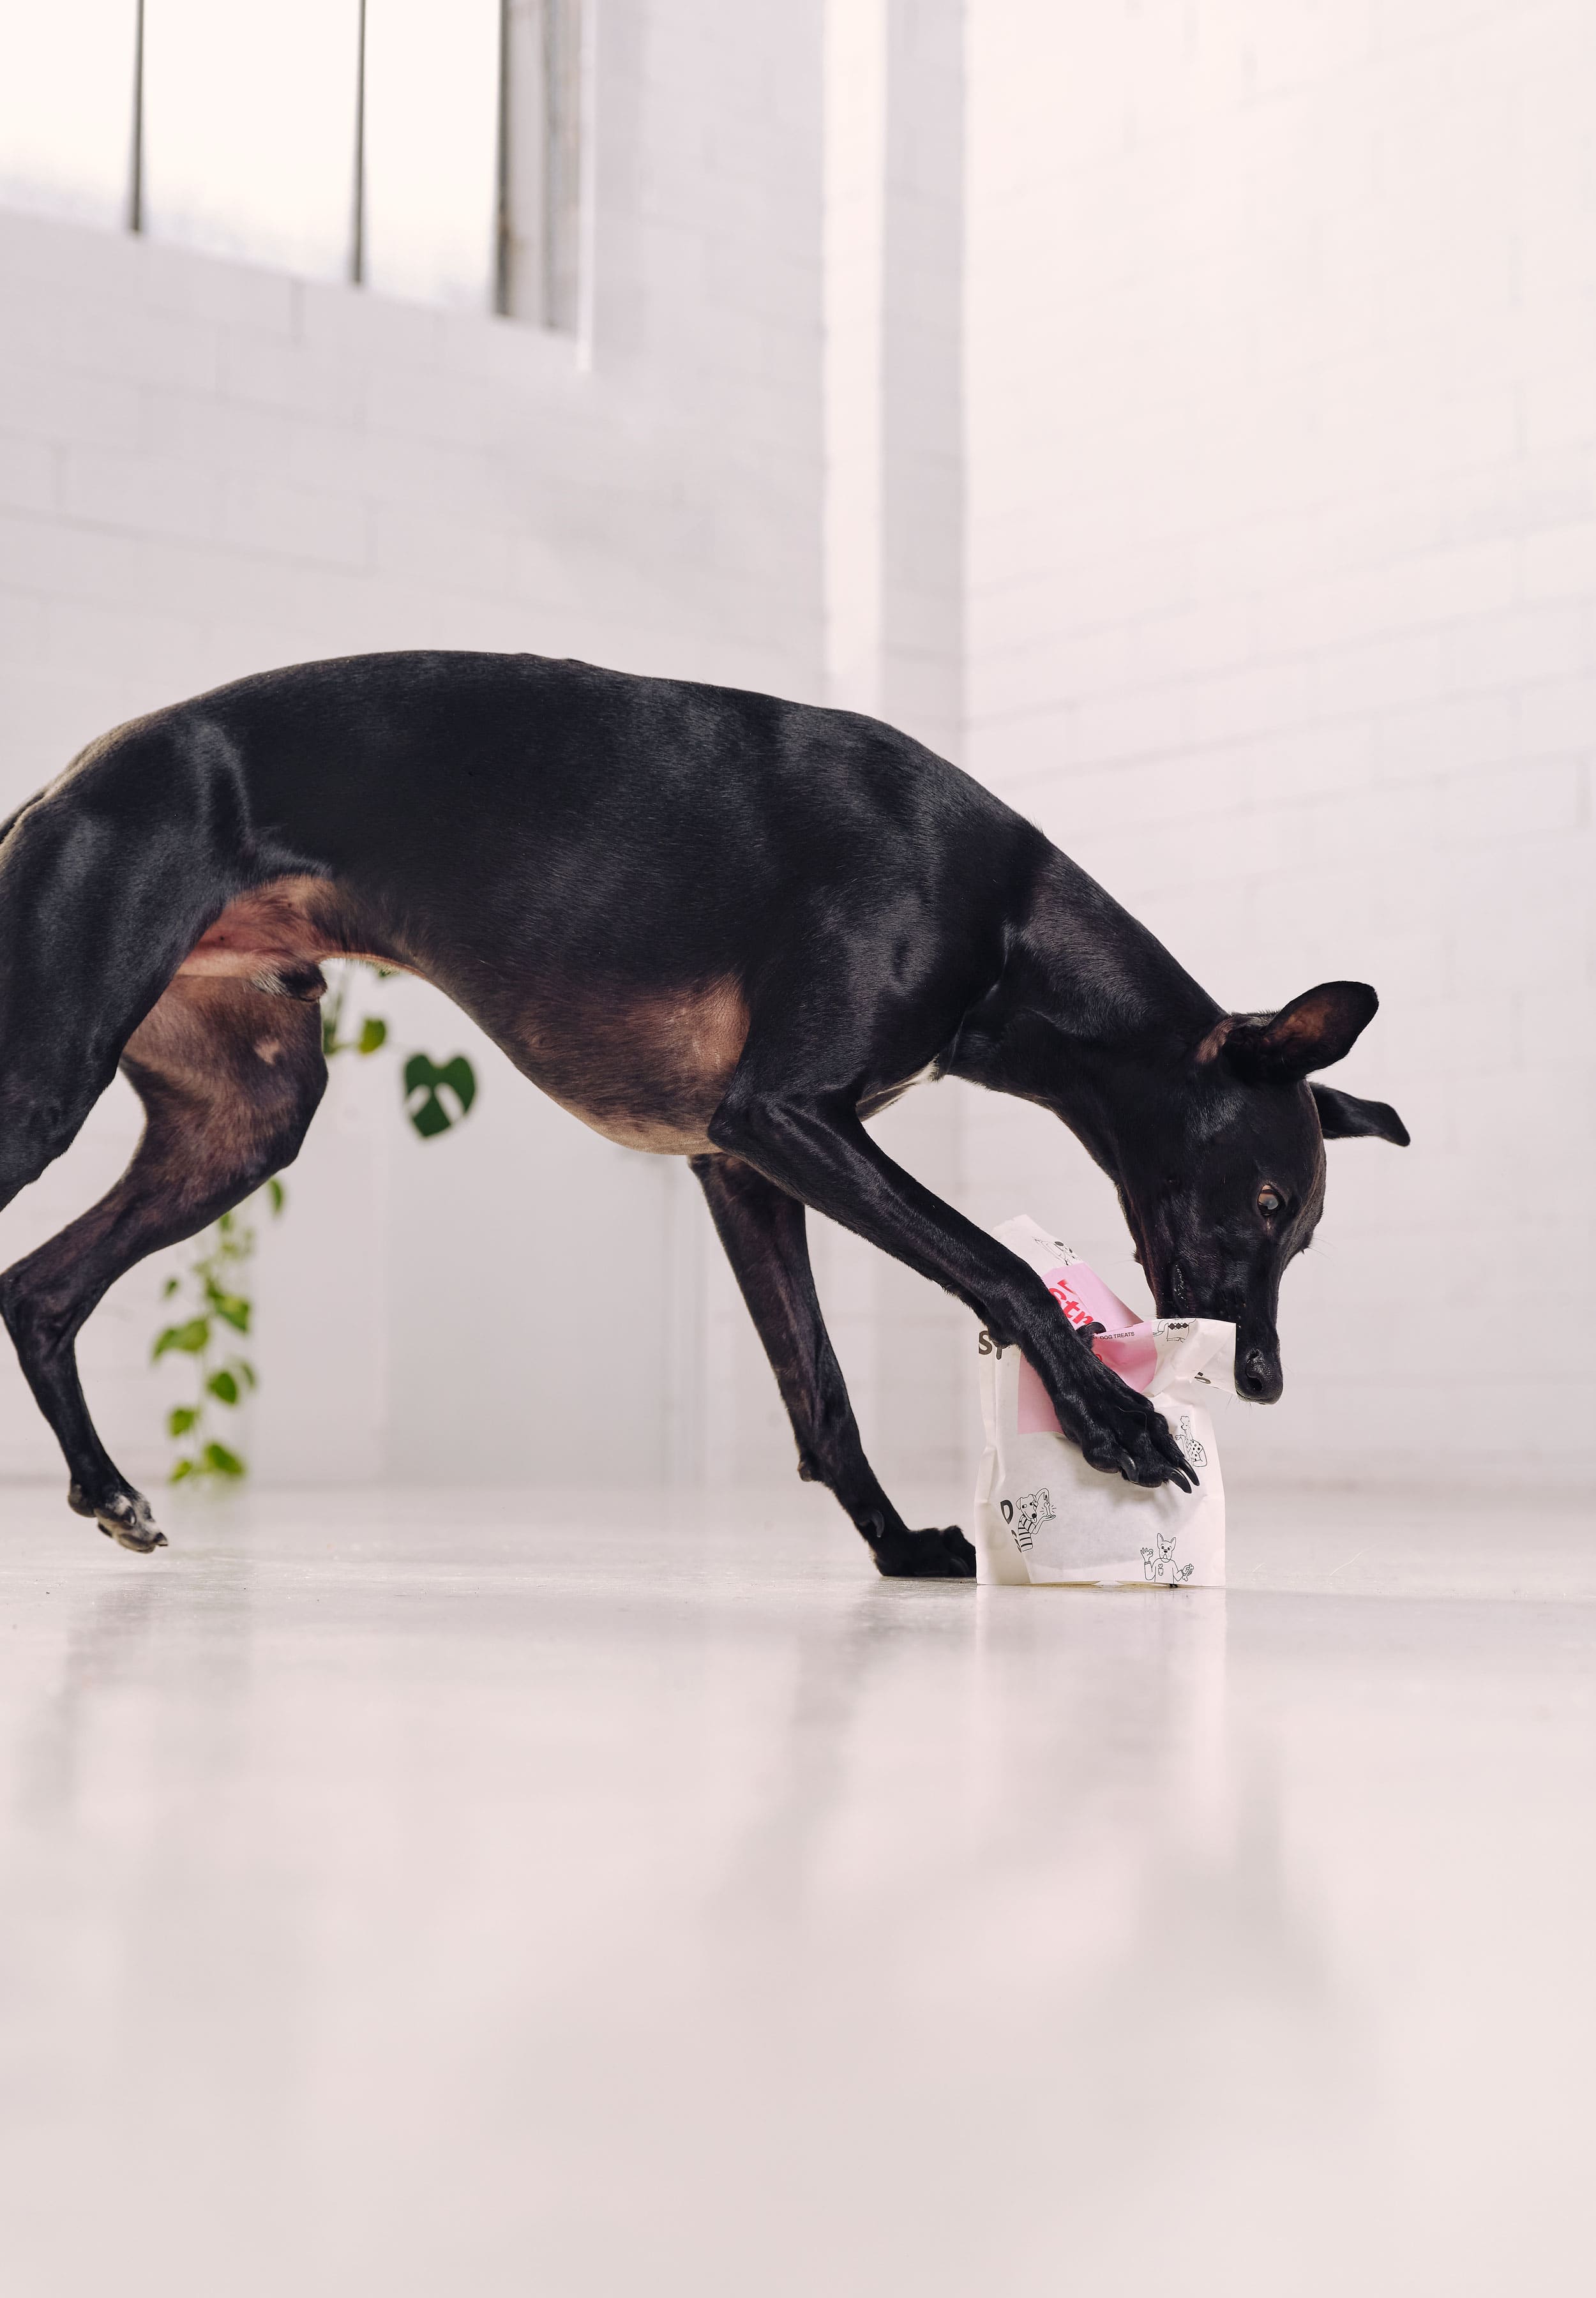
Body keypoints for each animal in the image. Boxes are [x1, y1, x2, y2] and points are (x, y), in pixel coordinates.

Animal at [0, 657, 1407, 1572]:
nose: (1264, 1383)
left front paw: (897, 1549)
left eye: (1303, 1232)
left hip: (243, 1123)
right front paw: (1111, 1423)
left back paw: (108, 1490)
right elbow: (1001, 1271)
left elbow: (820, 1391)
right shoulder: (785, 1120)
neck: (1009, 919)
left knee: (39, 1288)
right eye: (1266, 1201)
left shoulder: (743, 1168)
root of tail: (60, 784)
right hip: (47, 1081)